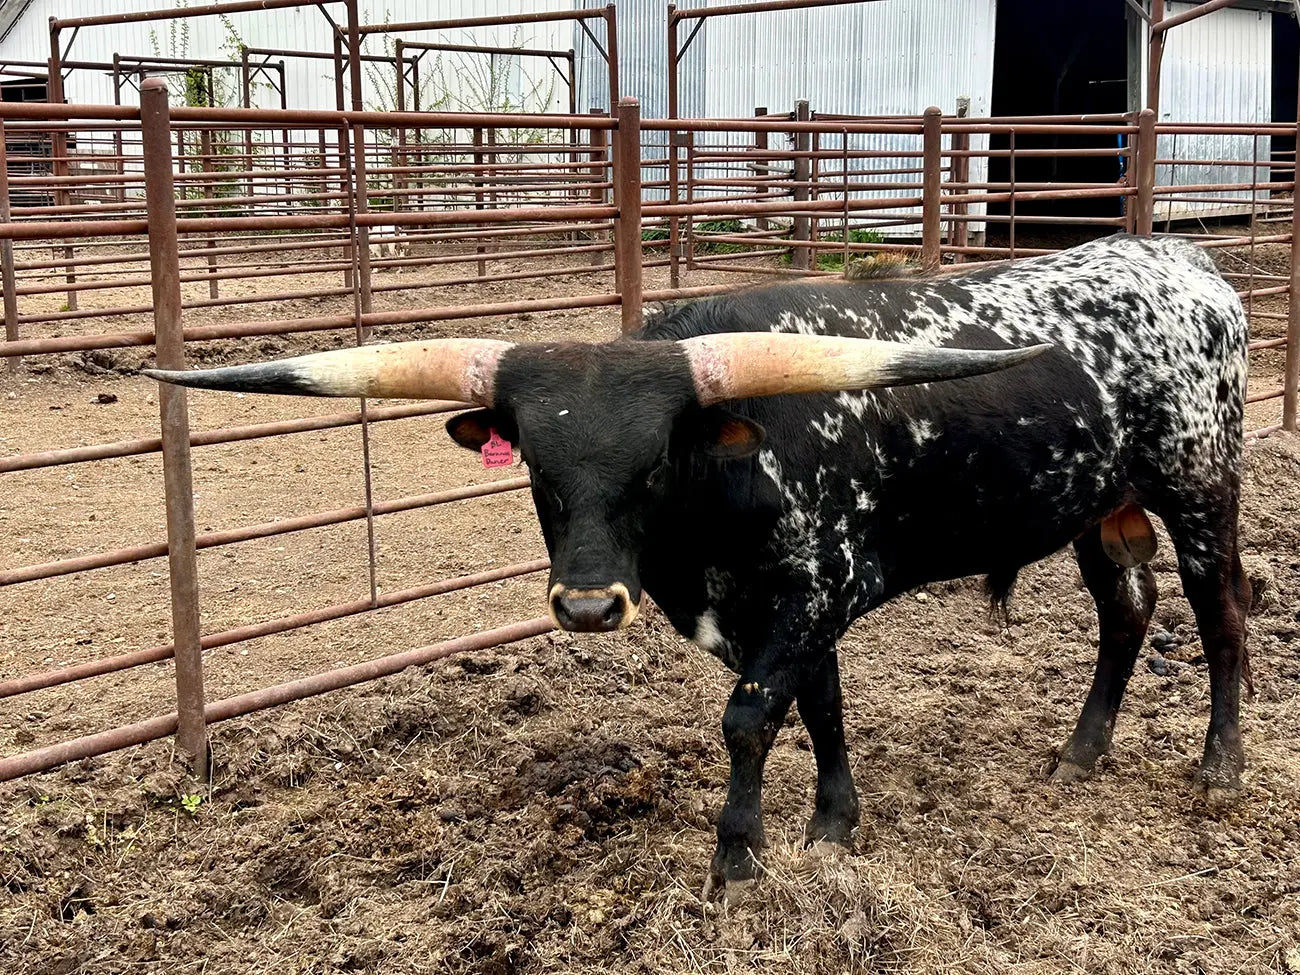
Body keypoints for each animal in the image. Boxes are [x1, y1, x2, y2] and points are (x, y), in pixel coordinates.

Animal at [146, 234, 1251, 905]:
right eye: (536, 469)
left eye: (654, 464)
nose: (589, 605)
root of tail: (1186, 261)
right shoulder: (789, 606)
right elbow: (822, 710)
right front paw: (832, 824)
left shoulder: (807, 594)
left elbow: (752, 719)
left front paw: (737, 860)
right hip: (1099, 505)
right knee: (1127, 607)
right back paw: (1081, 752)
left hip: (1201, 486)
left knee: (1220, 613)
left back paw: (1220, 768)